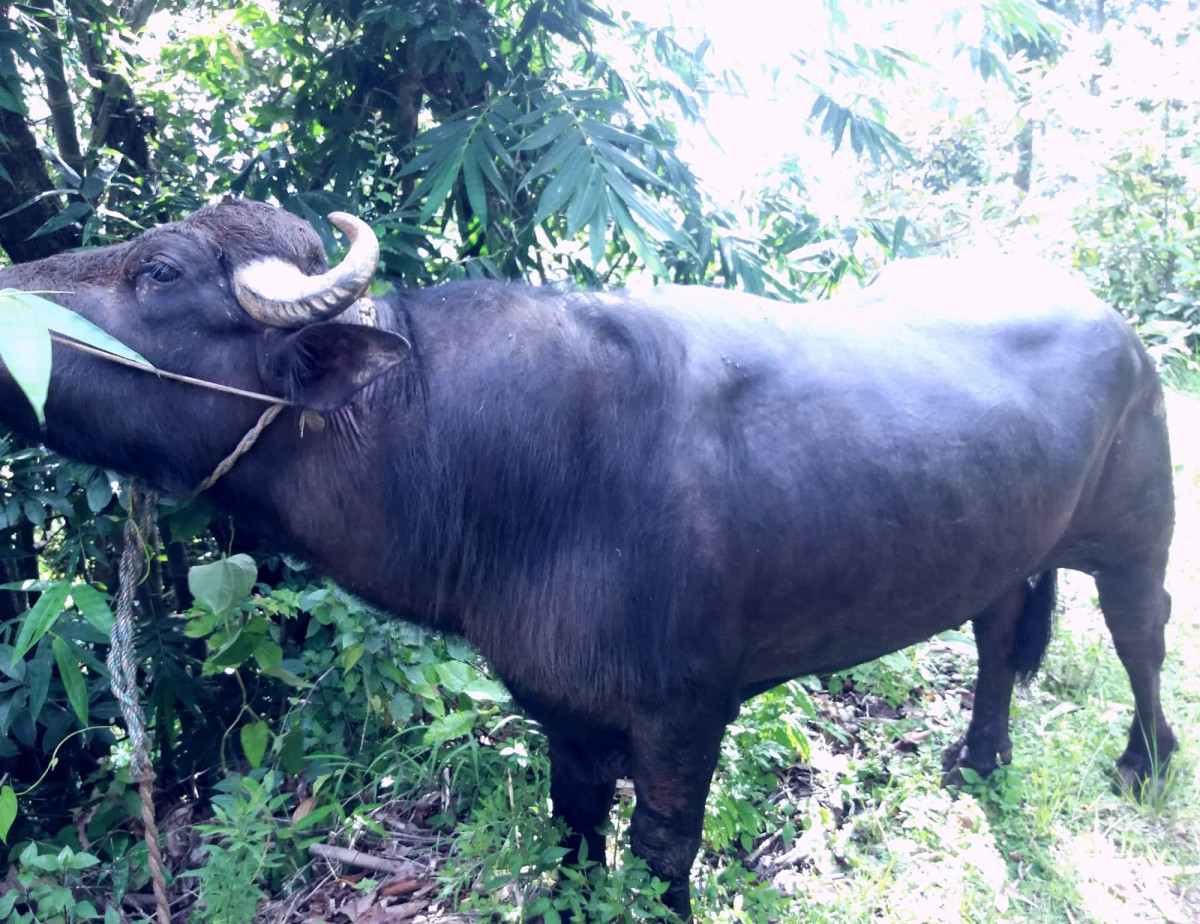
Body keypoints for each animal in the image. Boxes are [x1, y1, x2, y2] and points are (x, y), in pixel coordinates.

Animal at [0, 198, 1171, 912]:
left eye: (156, 270)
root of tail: (1116, 323)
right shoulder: (562, 708)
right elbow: (571, 837)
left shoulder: (687, 713)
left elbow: (661, 857)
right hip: (1010, 547)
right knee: (997, 634)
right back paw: (980, 757)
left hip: (1137, 531)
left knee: (1142, 634)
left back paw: (1145, 760)